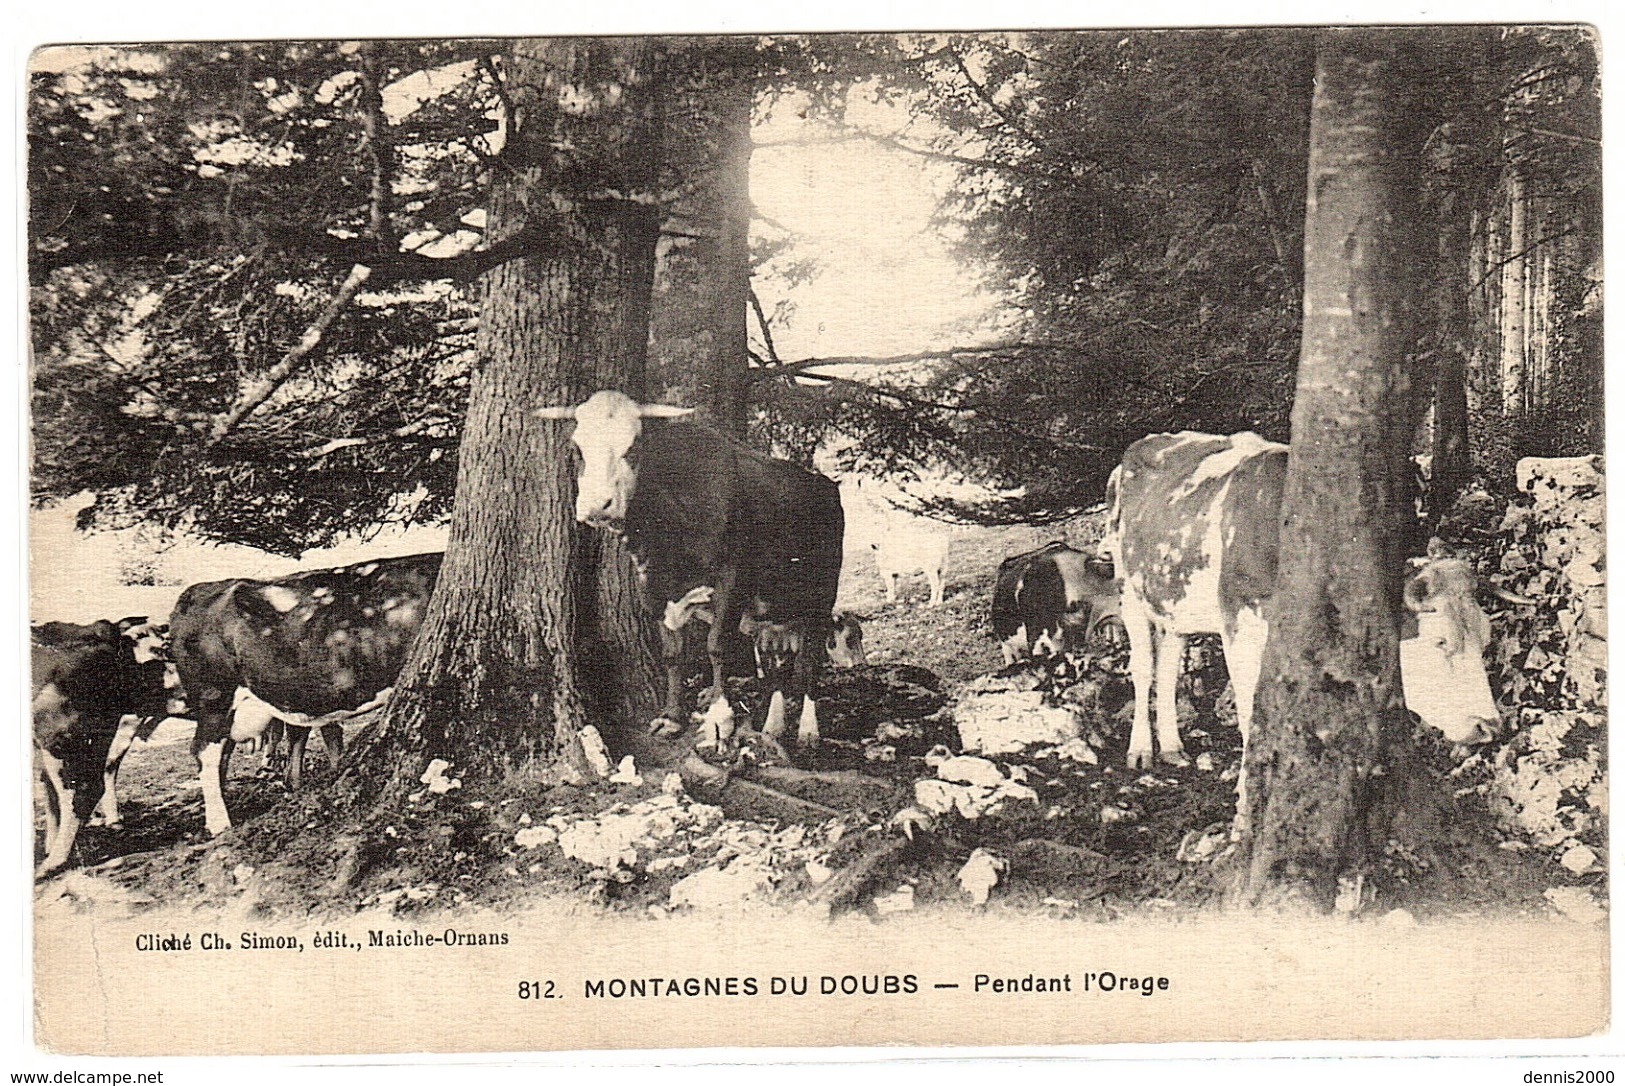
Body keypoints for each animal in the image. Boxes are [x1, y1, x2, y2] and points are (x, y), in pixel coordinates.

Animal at [1105, 429, 1508, 819]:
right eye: (1439, 641)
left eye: (1486, 638)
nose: (1489, 725)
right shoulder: (1239, 625)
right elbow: (1251, 710)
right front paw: (1249, 796)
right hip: (1128, 589)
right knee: (1143, 668)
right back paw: (1141, 749)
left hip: (1173, 604)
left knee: (1169, 664)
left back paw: (1172, 746)